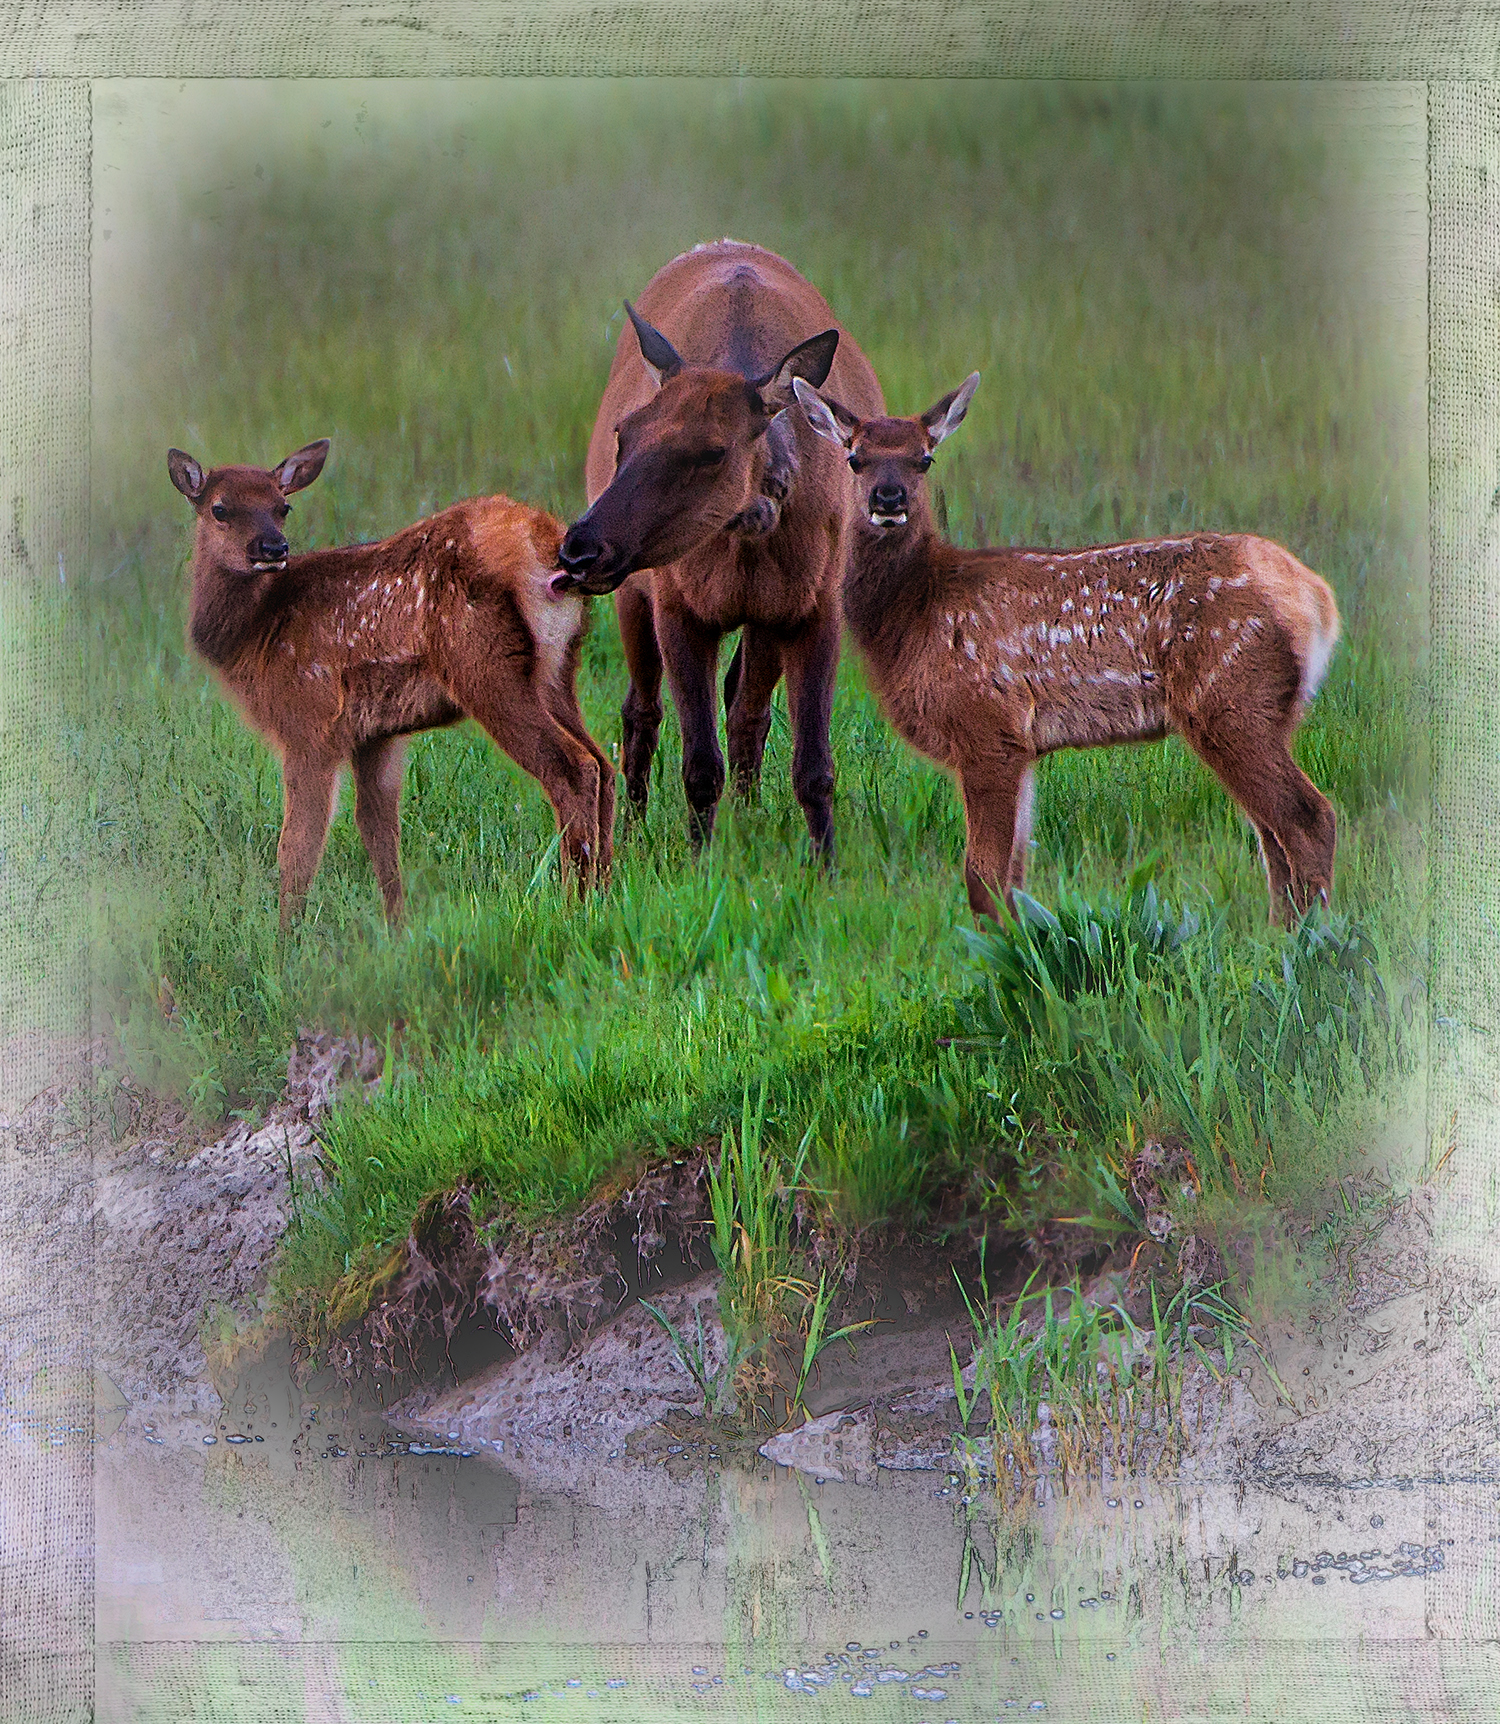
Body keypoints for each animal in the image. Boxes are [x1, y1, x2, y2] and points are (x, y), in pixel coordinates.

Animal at [175, 444, 617, 930]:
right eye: (219, 508)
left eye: (282, 506)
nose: (274, 548)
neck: (256, 632)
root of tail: (542, 542)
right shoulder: (375, 735)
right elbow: (378, 830)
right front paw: (397, 928)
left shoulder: (309, 721)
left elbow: (297, 846)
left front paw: (286, 938)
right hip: (558, 674)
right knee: (604, 763)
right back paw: (605, 891)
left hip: (487, 668)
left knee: (574, 767)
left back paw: (575, 903)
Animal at [555, 239, 889, 858]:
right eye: (622, 434)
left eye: (712, 451)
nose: (579, 549)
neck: (747, 537)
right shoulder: (676, 604)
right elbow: (698, 765)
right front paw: (698, 858)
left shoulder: (814, 605)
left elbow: (814, 765)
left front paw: (825, 862)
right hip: (635, 593)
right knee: (641, 709)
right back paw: (632, 828)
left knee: (745, 707)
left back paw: (749, 813)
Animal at [793, 370, 1344, 924]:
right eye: (854, 457)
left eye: (924, 457)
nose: (888, 499)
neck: (915, 613)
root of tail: (1316, 598)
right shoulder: (1021, 746)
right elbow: (1014, 877)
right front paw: (1018, 940)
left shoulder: (987, 724)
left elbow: (983, 878)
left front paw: (996, 947)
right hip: (1268, 711)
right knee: (1271, 833)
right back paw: (1281, 931)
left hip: (1230, 697)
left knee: (1306, 817)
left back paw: (1313, 935)